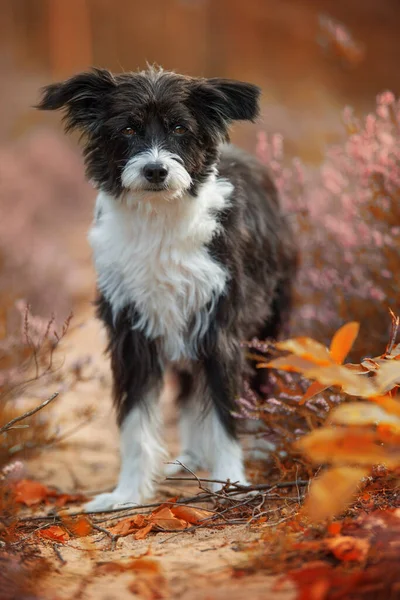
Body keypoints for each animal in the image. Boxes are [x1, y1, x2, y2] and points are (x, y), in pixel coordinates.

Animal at [36, 67, 296, 510]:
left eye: (179, 128)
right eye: (127, 128)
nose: (155, 170)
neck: (159, 221)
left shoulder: (220, 329)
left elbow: (225, 412)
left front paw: (230, 482)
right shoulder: (131, 332)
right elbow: (135, 423)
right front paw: (127, 493)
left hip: (266, 328)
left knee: (255, 385)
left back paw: (259, 445)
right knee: (191, 393)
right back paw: (191, 457)